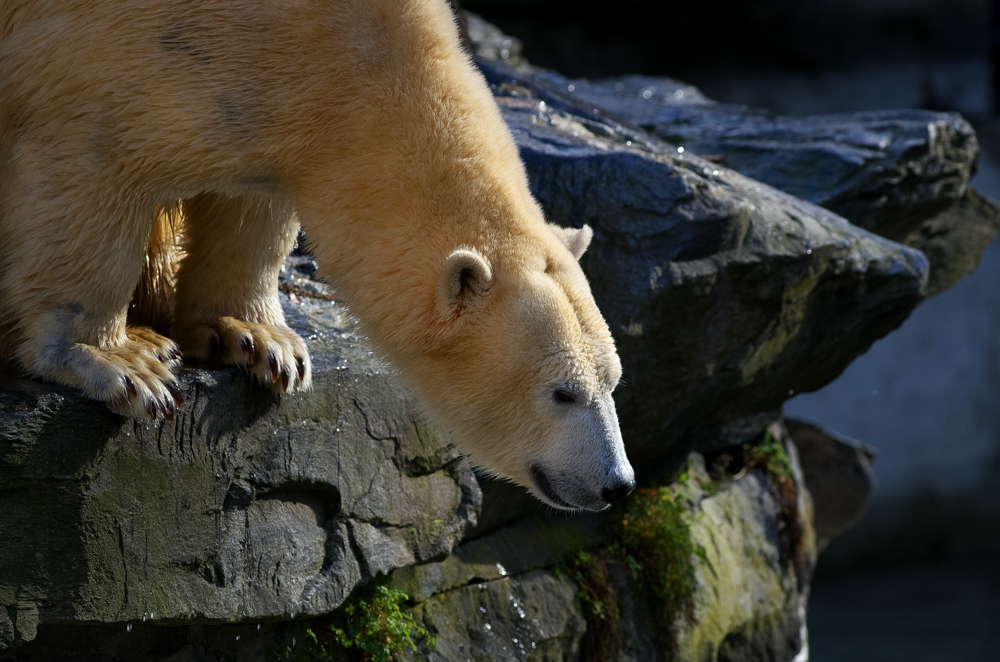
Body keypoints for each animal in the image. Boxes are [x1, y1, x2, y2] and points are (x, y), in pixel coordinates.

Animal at [0, 0, 636, 512]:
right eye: (562, 391)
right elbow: (90, 169)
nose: (617, 485)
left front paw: (255, 339)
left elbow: (251, 205)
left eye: (613, 381)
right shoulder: (109, 57)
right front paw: (119, 363)